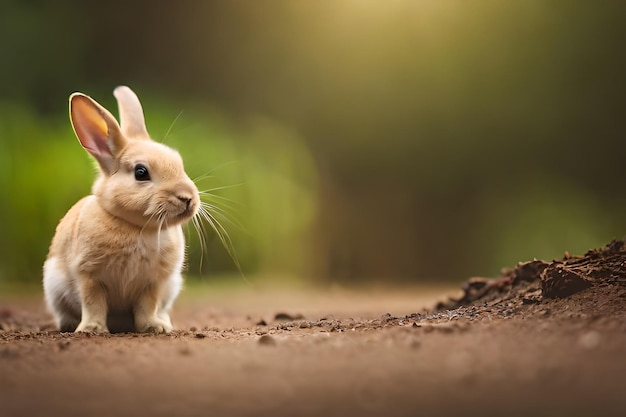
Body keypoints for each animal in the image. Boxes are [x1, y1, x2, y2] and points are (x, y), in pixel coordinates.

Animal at [43, 86, 199, 334]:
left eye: (179, 163)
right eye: (141, 172)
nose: (188, 198)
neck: (135, 227)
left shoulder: (154, 283)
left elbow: (148, 306)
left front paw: (153, 327)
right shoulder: (89, 276)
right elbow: (93, 303)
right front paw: (92, 329)